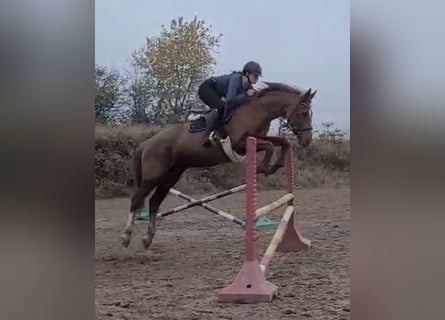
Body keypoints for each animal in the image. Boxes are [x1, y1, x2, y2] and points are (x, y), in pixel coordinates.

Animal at [119, 81, 316, 249]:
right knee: (137, 199)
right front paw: (264, 168)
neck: (257, 110)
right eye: (302, 113)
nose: (307, 141)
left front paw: (277, 165)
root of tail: (147, 143)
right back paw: (126, 236)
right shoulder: (240, 144)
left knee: (154, 202)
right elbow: (269, 146)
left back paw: (147, 238)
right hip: (153, 176)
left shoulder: (258, 137)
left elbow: (283, 142)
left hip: (171, 176)